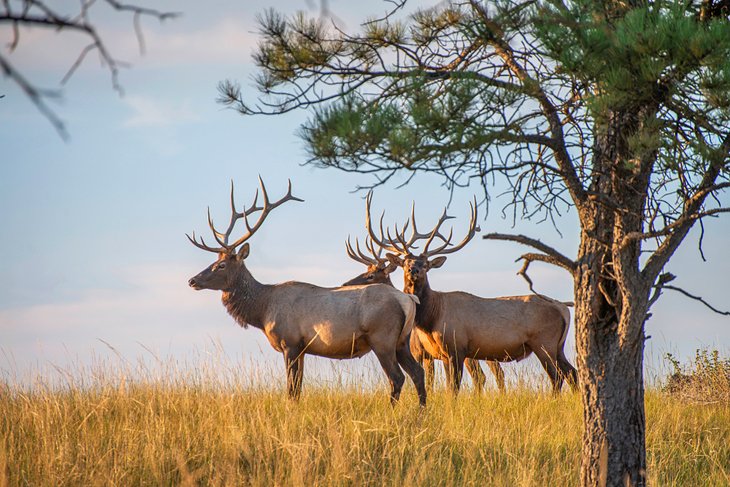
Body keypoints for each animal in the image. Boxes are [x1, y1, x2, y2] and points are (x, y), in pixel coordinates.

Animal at [186, 180, 426, 408]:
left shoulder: (290, 342)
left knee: (397, 378)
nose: (192, 280)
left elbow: (291, 390)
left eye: (222, 265)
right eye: (215, 261)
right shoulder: (301, 349)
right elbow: (298, 389)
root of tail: (408, 300)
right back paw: (420, 412)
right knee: (417, 372)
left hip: (382, 338)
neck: (263, 310)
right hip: (402, 341)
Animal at [342, 234, 506, 394]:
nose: (345, 284)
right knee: (487, 374)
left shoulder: (419, 351)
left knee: (486, 375)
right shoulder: (428, 354)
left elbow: (428, 380)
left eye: (371, 275)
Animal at [364, 193, 576, 394]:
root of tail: (563, 308)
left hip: (544, 341)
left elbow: (453, 388)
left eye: (425, 265)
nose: (413, 270)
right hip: (558, 346)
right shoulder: (443, 354)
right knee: (572, 372)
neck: (431, 318)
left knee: (557, 376)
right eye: (405, 263)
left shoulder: (456, 346)